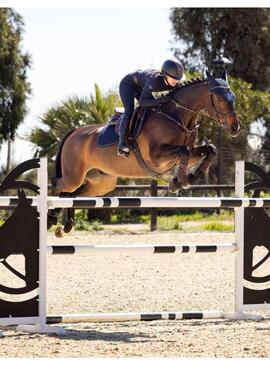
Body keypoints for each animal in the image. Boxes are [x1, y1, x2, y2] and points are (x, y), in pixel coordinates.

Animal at [48, 70, 240, 236]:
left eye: (233, 97)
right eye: (220, 98)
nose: (235, 127)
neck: (177, 117)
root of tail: (74, 132)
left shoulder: (189, 152)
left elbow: (210, 150)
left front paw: (191, 178)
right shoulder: (157, 157)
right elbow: (184, 151)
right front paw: (179, 181)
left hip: (101, 183)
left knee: (74, 194)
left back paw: (65, 226)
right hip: (74, 176)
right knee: (59, 186)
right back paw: (52, 218)